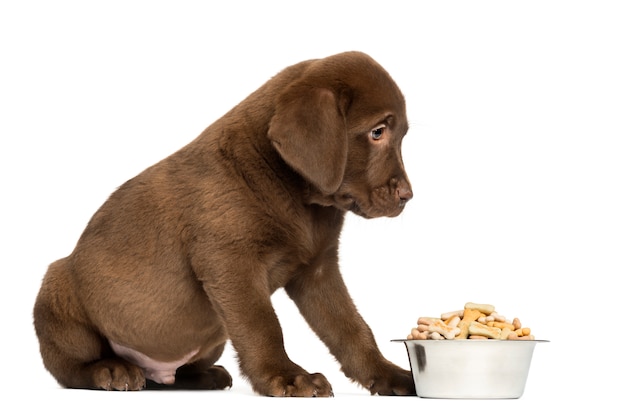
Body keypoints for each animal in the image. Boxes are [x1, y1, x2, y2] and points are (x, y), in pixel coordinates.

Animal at [34, 50, 414, 396]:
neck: (300, 198)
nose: (408, 196)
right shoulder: (231, 265)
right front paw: (287, 376)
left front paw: (387, 373)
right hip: (57, 286)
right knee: (67, 369)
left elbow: (351, 328)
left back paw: (205, 377)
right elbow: (263, 325)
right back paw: (111, 371)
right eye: (377, 132)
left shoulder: (317, 270)